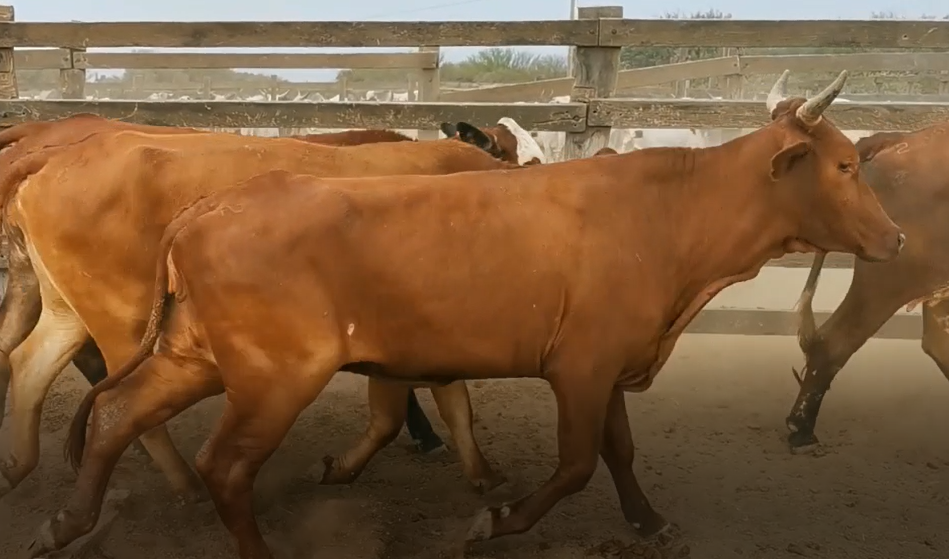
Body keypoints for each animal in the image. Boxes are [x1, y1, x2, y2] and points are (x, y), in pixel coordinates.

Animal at [0, 128, 524, 498]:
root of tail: (56, 154)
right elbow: (400, 413)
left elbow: (456, 406)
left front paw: (483, 474)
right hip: (124, 324)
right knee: (118, 400)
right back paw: (185, 482)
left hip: (65, 309)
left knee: (28, 363)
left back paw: (18, 467)